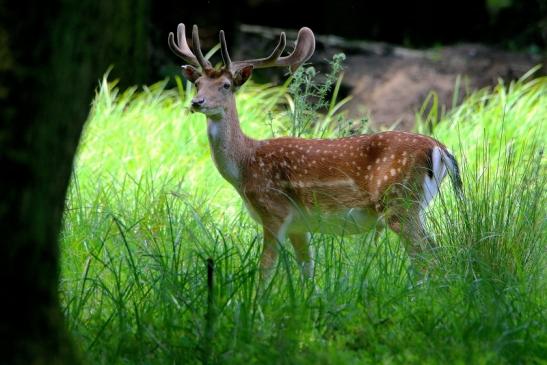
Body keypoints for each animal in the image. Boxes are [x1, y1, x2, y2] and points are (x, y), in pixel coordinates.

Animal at [168, 24, 462, 280]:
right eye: (198, 83)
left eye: (226, 85)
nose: (196, 102)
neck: (245, 165)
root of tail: (441, 148)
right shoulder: (299, 225)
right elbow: (307, 269)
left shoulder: (273, 211)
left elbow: (265, 269)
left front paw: (256, 305)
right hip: (413, 205)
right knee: (434, 252)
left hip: (399, 201)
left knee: (427, 258)